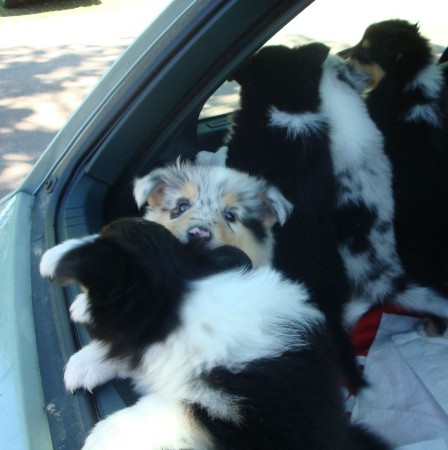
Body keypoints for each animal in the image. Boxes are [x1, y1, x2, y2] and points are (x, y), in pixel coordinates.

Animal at [40, 217, 391, 450]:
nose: (47, 259)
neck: (185, 298)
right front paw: (85, 364)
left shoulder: (250, 418)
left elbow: (178, 409)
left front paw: (104, 435)